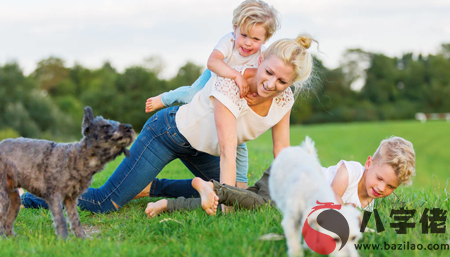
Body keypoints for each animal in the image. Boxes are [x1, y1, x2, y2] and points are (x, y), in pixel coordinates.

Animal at [0, 106, 134, 238]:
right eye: (105, 126)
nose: (129, 127)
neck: (77, 158)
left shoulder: (71, 199)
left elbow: (75, 220)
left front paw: (82, 238)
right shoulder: (54, 197)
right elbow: (61, 220)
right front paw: (64, 240)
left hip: (14, 199)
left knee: (8, 220)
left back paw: (13, 237)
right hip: (3, 197)